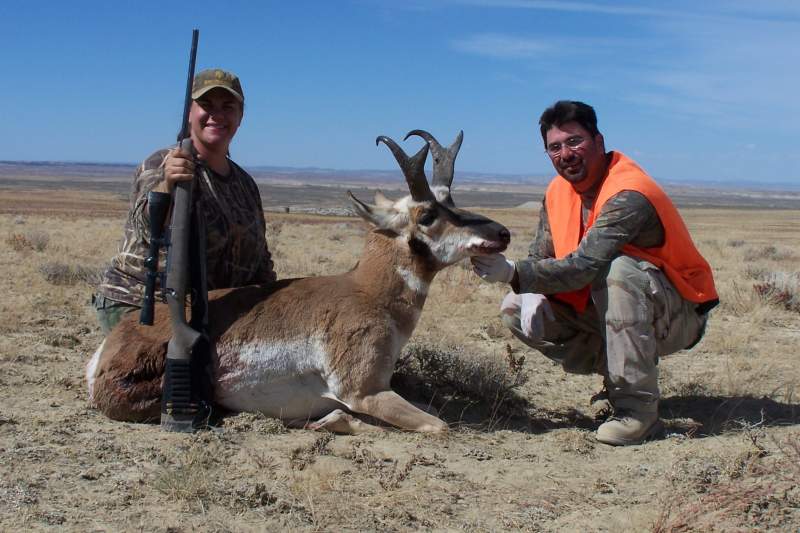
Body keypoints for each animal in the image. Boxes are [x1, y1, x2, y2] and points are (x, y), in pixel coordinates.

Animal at [87, 131, 510, 434]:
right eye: (426, 215)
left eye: (451, 201)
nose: (502, 233)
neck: (367, 291)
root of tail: (111, 344)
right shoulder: (366, 392)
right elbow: (440, 427)